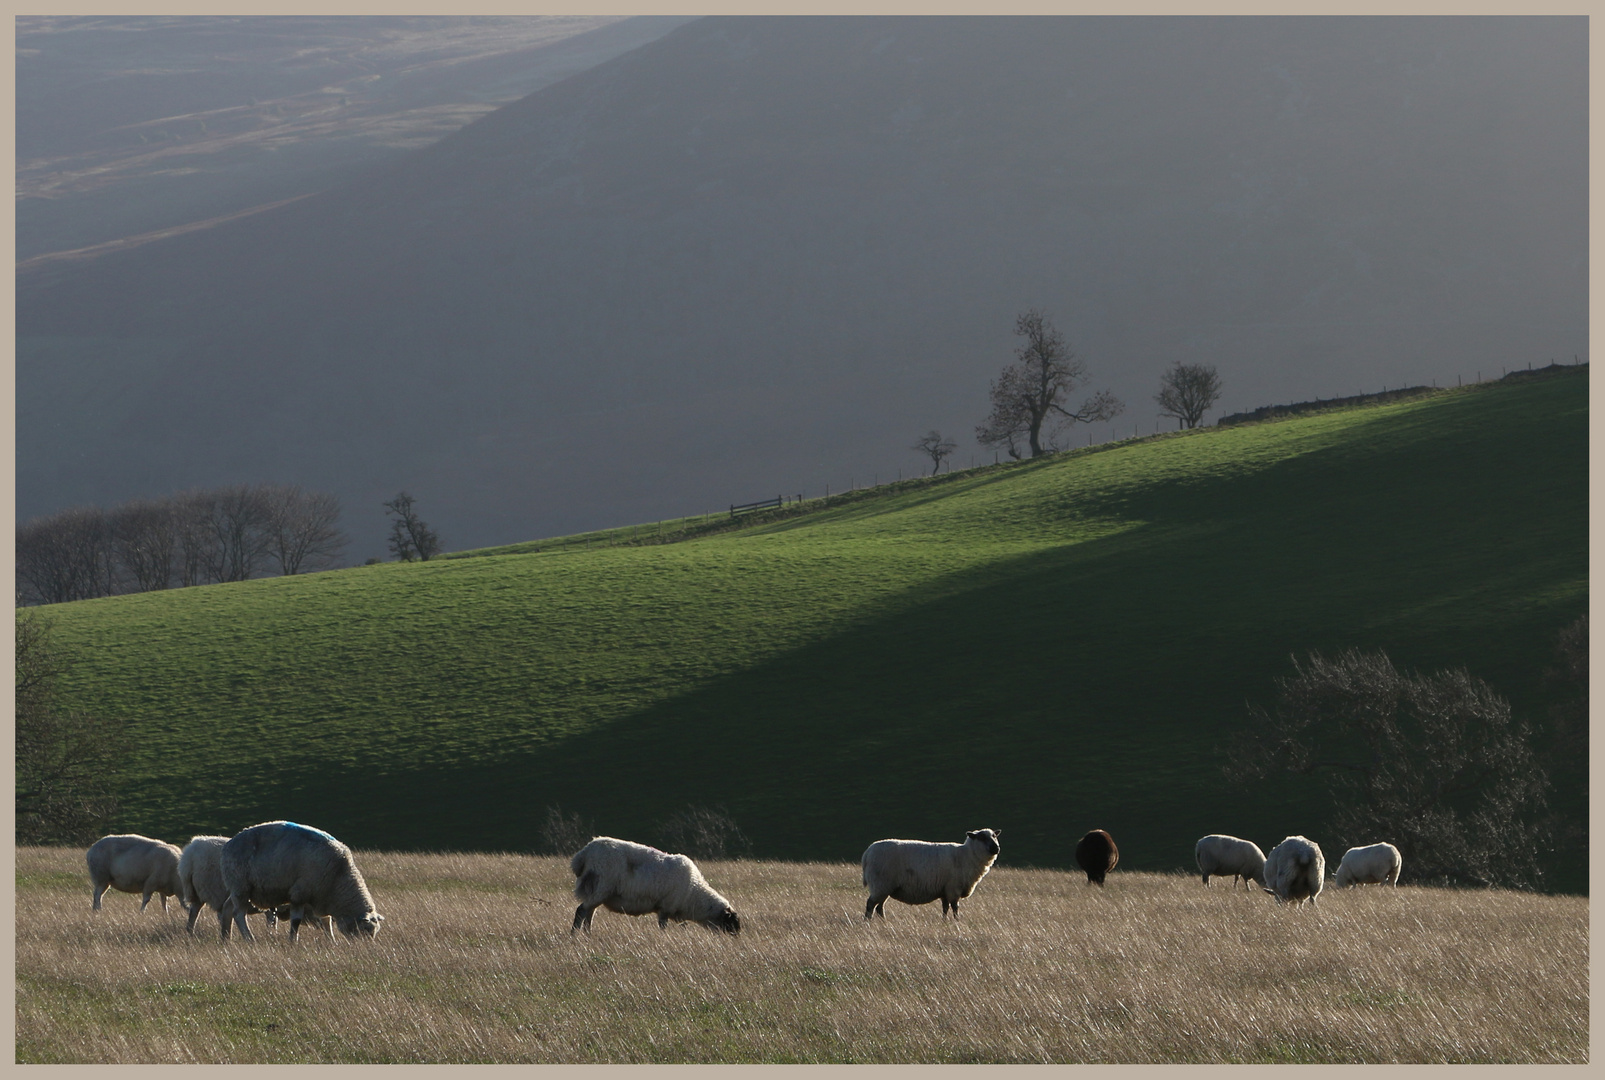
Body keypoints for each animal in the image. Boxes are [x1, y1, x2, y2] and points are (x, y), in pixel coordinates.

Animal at [219, 821, 385, 937]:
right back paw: (249, 938)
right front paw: (293, 941)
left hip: (238, 889)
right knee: (239, 914)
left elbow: (326, 921)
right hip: (240, 886)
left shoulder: (320, 896)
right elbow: (296, 922)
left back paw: (226, 938)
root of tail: (229, 844)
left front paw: (332, 941)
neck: (338, 875)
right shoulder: (299, 894)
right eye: (366, 930)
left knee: (227, 909)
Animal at [571, 834, 738, 937]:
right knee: (581, 911)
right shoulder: (666, 908)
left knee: (589, 913)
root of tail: (583, 853)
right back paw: (574, 936)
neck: (694, 894)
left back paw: (588, 936)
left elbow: (683, 926)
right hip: (601, 887)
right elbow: (663, 927)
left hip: (597, 892)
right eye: (731, 923)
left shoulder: (675, 911)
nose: (735, 938)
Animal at [860, 828, 995, 917]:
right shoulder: (953, 889)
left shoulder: (945, 890)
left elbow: (945, 908)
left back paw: (883, 922)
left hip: (884, 887)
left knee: (879, 907)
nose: (996, 848)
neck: (966, 855)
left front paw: (944, 922)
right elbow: (955, 908)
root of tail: (867, 853)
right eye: (982, 837)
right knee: (870, 905)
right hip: (881, 884)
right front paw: (957, 922)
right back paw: (868, 922)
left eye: (994, 836)